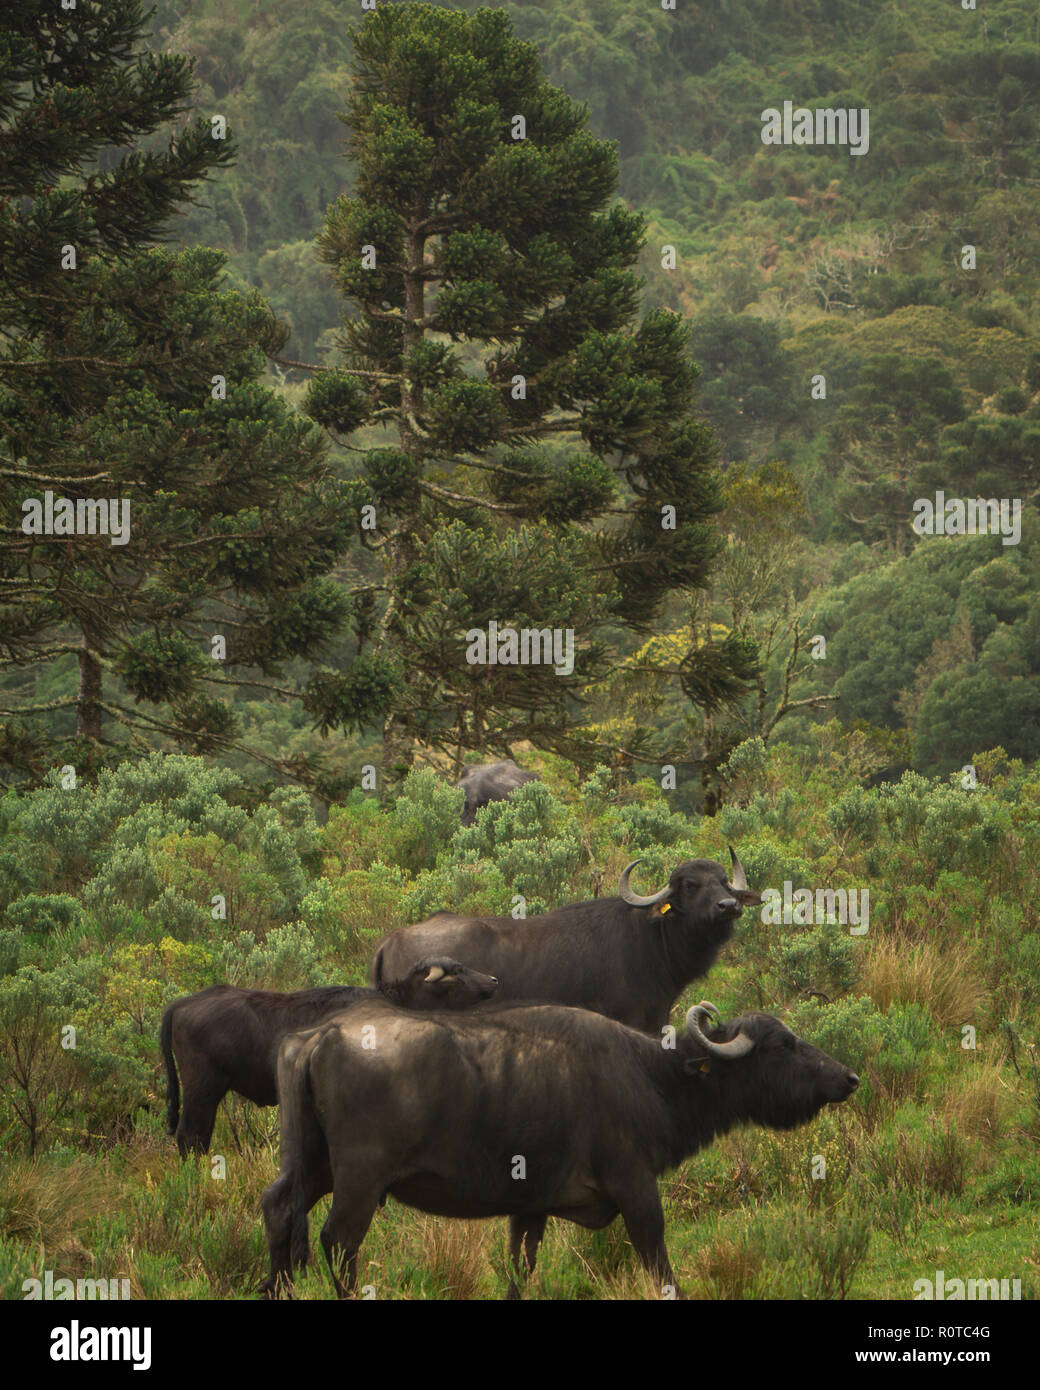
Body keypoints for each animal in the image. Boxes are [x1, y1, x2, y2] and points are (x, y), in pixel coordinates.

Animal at [261, 1000, 862, 1301]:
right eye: (782, 1044)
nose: (848, 1076)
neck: (653, 1076)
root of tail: (319, 1037)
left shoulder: (529, 1209)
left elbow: (518, 1271)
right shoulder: (637, 1190)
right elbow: (659, 1263)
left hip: (311, 1167)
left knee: (278, 1210)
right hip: (359, 1182)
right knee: (337, 1242)